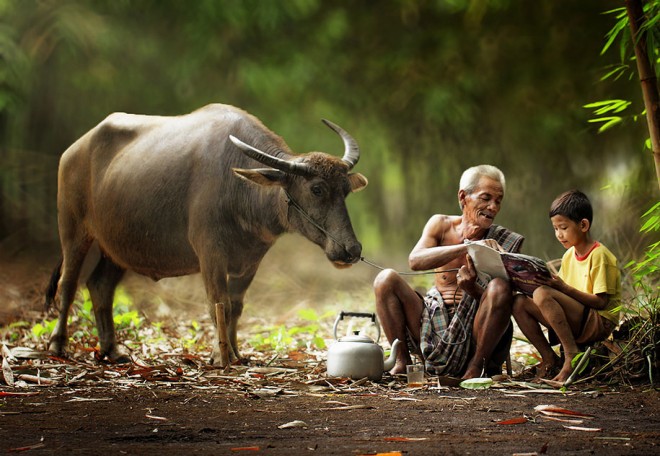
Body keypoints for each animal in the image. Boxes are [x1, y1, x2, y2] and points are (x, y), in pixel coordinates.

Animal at [43, 103, 368, 366]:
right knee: (68, 283)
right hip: (73, 229)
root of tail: (73, 150)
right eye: (317, 189)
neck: (239, 189)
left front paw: (236, 353)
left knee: (100, 286)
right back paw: (58, 345)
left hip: (117, 247)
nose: (351, 249)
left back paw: (112, 350)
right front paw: (218, 356)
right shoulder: (210, 254)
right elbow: (217, 304)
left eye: (345, 190)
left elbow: (235, 307)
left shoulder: (250, 262)